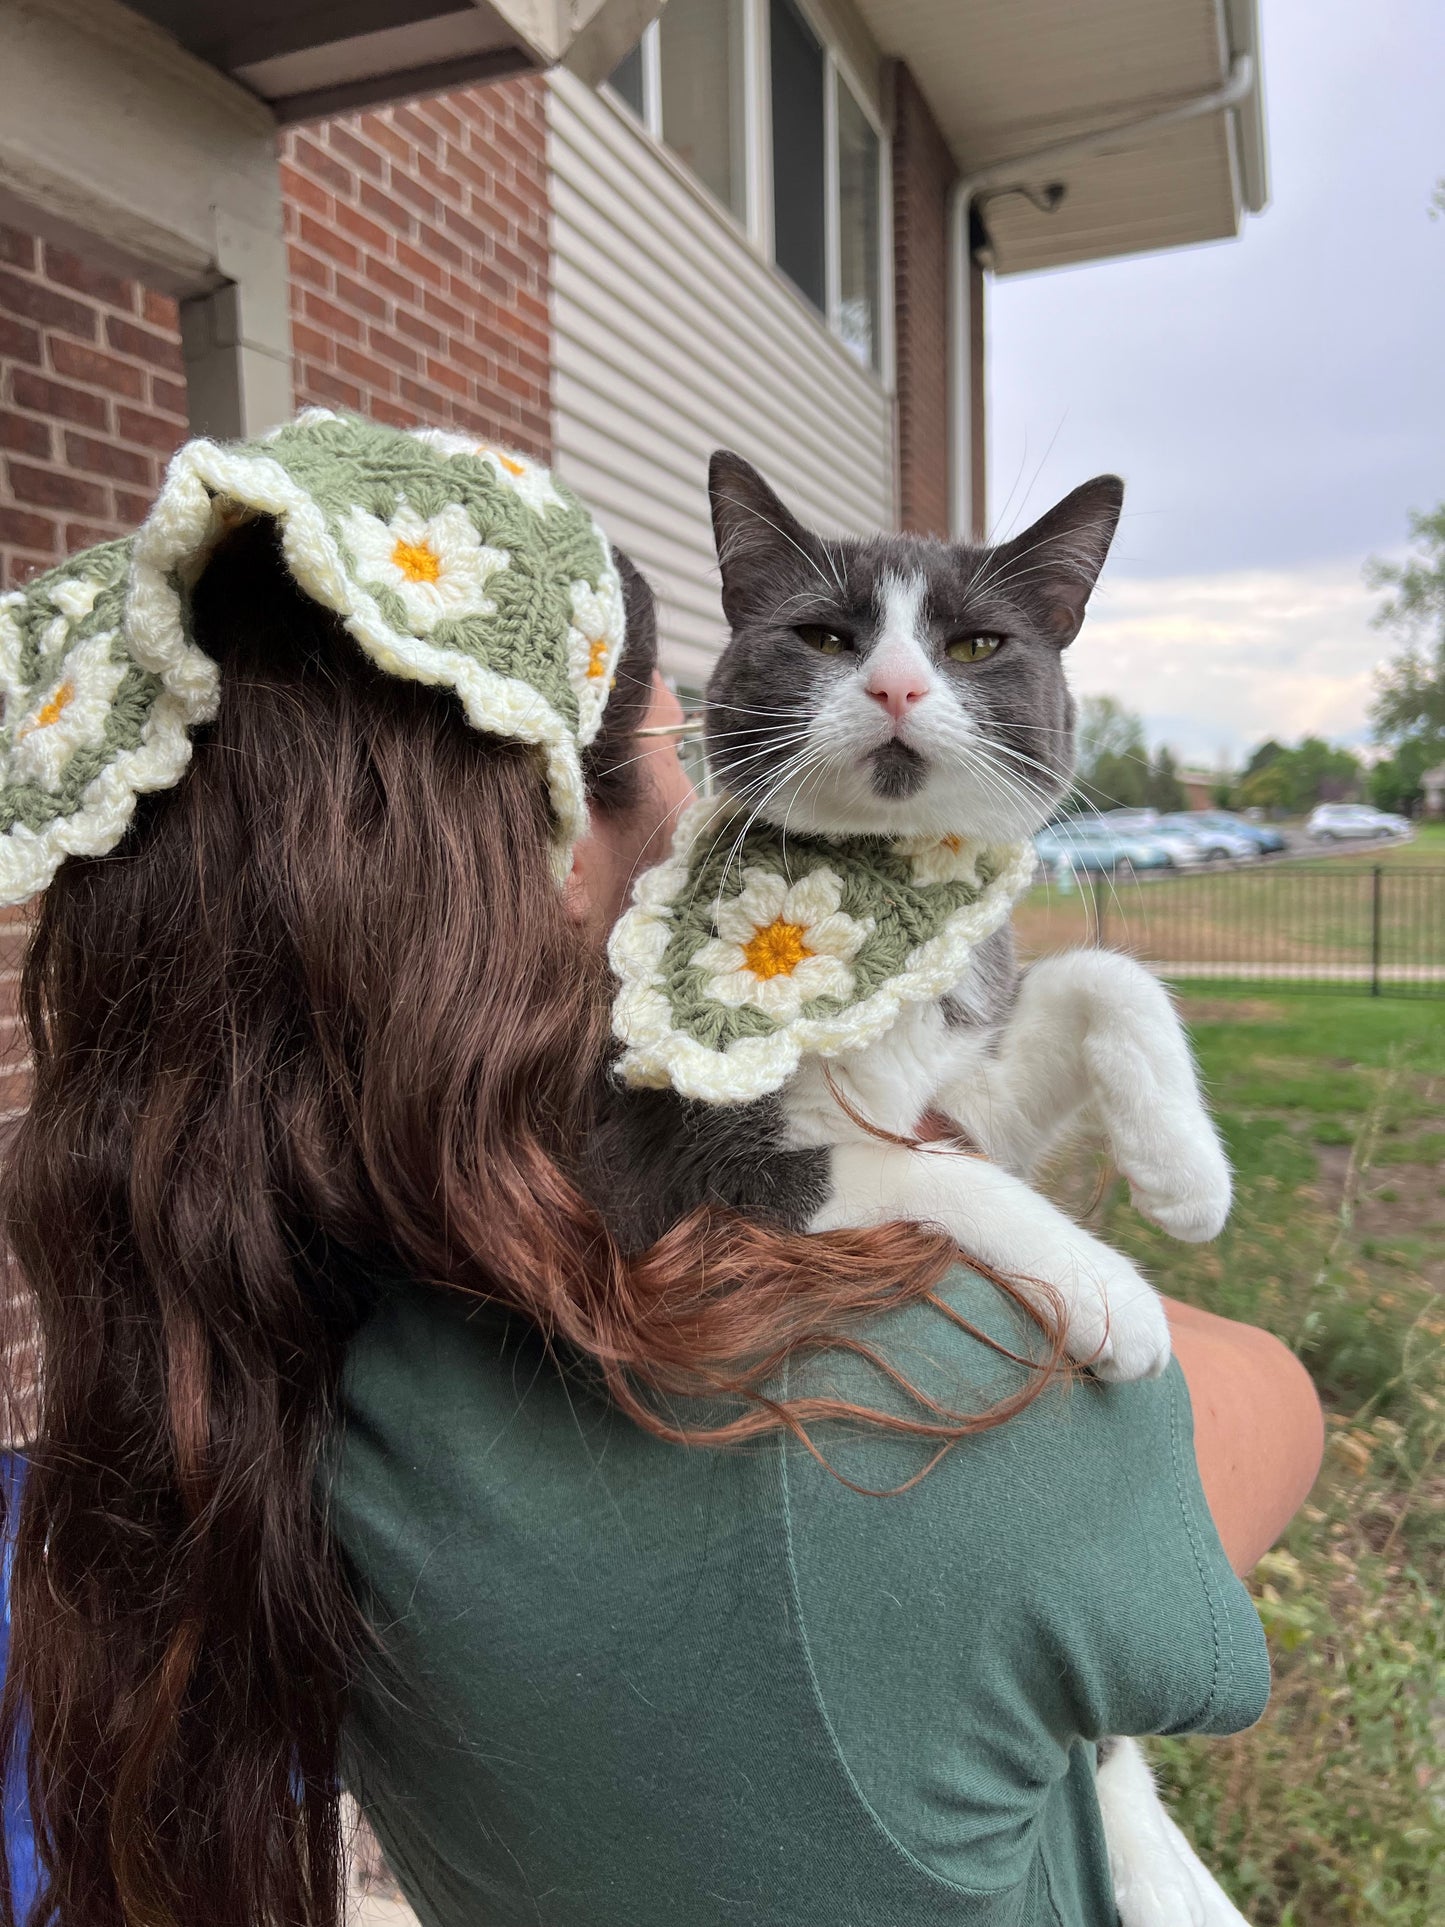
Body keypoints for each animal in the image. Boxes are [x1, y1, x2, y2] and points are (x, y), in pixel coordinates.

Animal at [601, 450, 1256, 1927]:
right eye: (825, 635)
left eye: (974, 645)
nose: (899, 686)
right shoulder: (664, 1166)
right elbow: (920, 1161)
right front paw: (1114, 1293)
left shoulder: (975, 1052)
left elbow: (1095, 977)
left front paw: (1184, 1177)